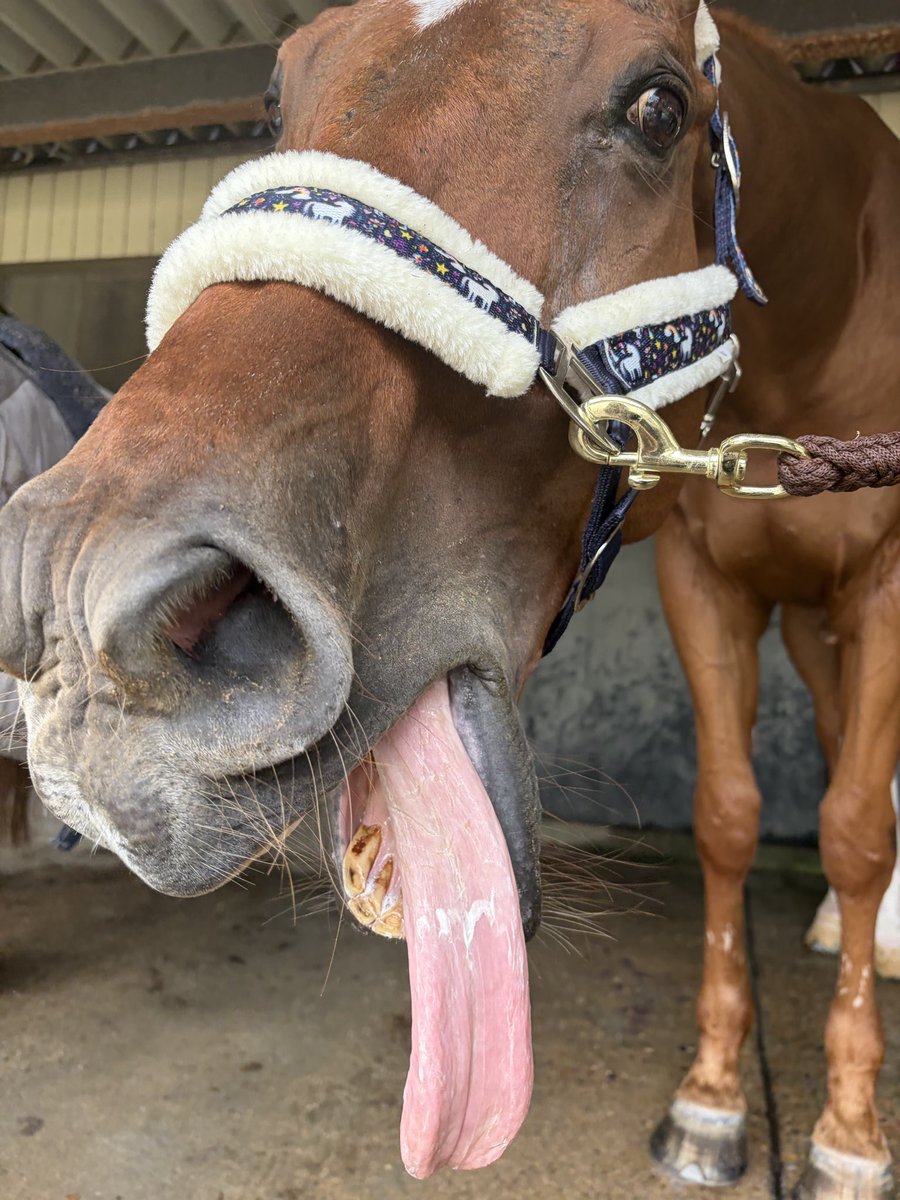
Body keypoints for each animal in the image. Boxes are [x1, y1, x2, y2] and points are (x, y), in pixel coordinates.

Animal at [0, 2, 895, 1194]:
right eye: (278, 94)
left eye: (662, 109)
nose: (71, 589)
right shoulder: (704, 585)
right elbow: (728, 818)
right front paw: (712, 1100)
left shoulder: (884, 589)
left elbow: (854, 831)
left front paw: (849, 1130)